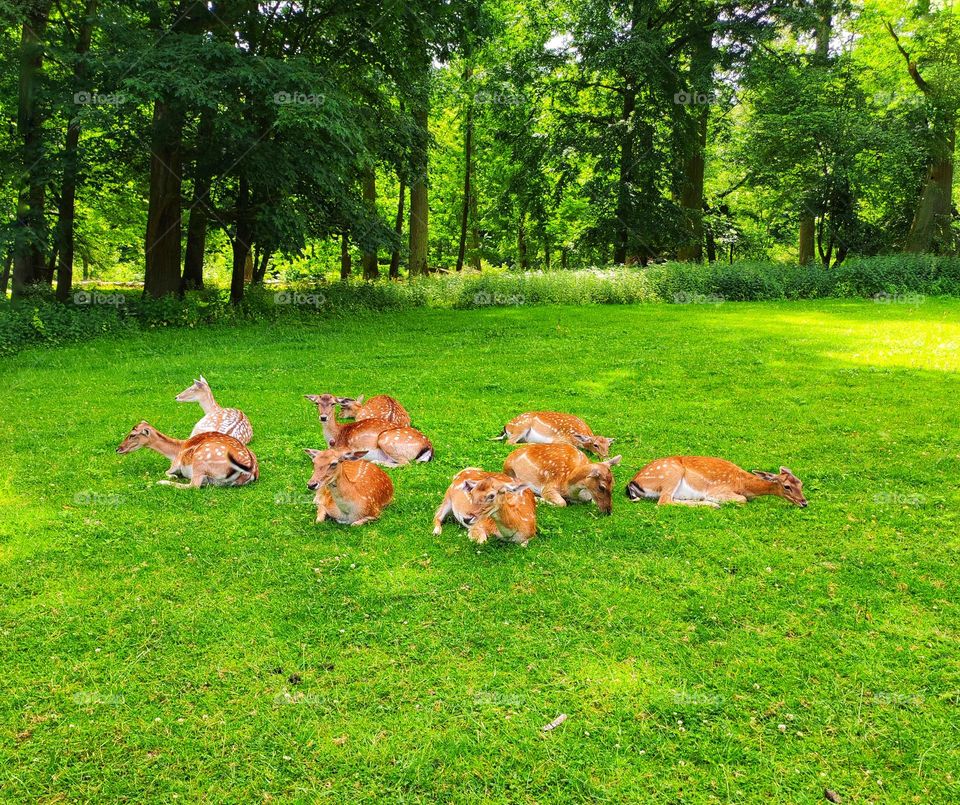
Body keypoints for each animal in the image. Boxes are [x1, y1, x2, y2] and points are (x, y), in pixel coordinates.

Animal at [115, 424, 258, 486]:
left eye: (132, 435)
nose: (118, 449)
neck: (176, 451)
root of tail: (251, 471)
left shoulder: (175, 464)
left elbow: (167, 472)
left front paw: (172, 477)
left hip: (200, 461)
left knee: (193, 486)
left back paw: (162, 482)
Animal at [306, 392, 434, 462]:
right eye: (316, 403)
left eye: (334, 403)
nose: (323, 417)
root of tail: (429, 447)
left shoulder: (346, 448)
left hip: (386, 439)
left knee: (405, 463)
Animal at [492, 412, 620, 456]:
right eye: (595, 445)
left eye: (608, 445)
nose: (605, 456)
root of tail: (506, 427)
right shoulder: (559, 439)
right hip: (521, 427)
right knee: (509, 443)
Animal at [628, 456, 808, 506]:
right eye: (787, 486)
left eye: (801, 483)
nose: (804, 502)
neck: (742, 484)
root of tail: (633, 482)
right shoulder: (719, 490)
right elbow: (742, 500)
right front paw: (714, 501)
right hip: (671, 474)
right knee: (664, 501)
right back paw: (712, 504)